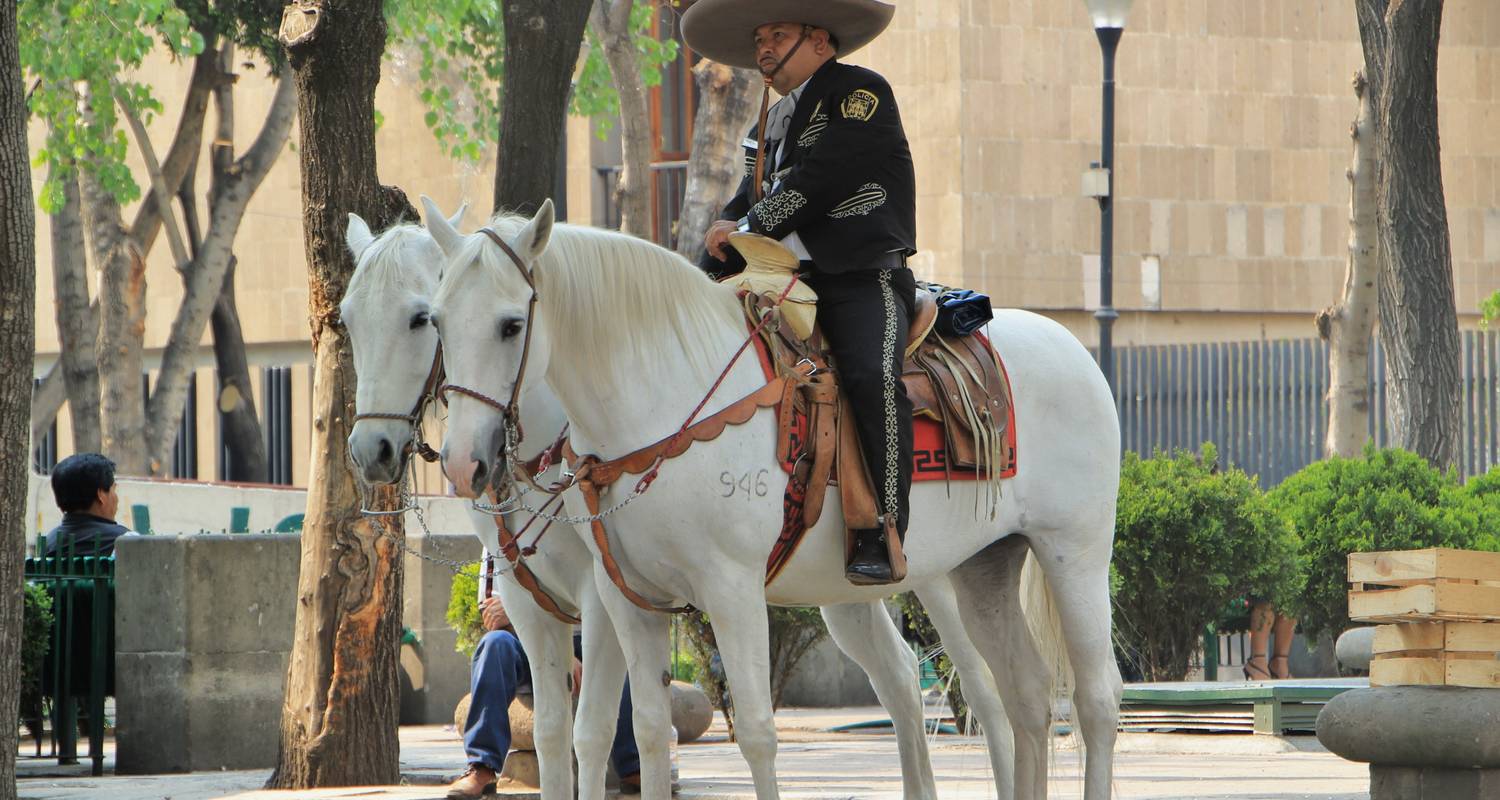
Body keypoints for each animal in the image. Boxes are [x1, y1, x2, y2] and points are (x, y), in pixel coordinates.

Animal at [429, 204, 1122, 798]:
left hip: (1068, 555)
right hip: (983, 567)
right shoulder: (630, 600)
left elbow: (757, 734)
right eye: (435, 320)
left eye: (511, 324)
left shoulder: (729, 590)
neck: (663, 398)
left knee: (1087, 700)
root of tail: (1071, 346)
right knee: (1024, 695)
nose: (465, 464)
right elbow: (648, 731)